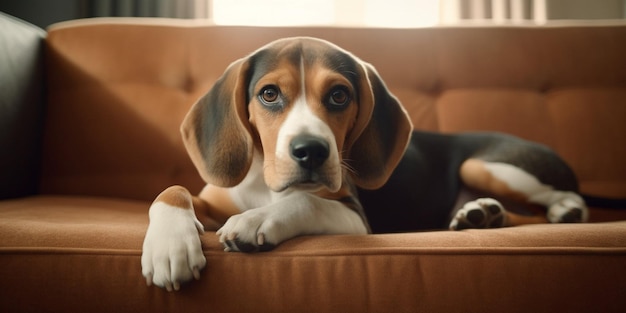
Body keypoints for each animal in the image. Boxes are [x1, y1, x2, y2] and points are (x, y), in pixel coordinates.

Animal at [138, 36, 584, 290]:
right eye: (269, 94)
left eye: (339, 95)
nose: (311, 151)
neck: (266, 184)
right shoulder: (214, 198)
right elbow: (171, 190)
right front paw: (170, 245)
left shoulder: (354, 217)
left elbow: (305, 200)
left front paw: (255, 221)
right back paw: (482, 214)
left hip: (482, 166)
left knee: (558, 205)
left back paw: (565, 210)